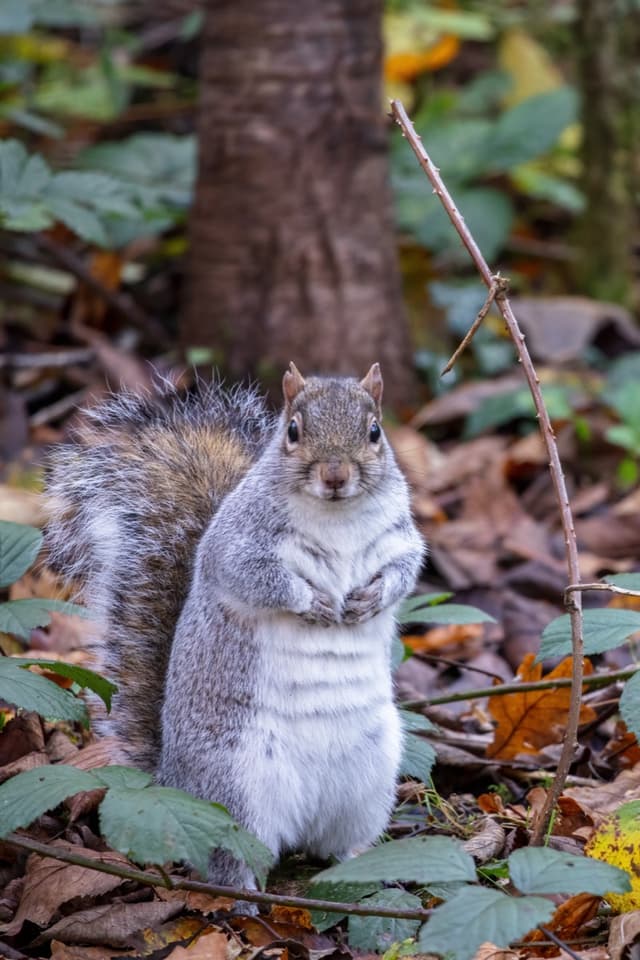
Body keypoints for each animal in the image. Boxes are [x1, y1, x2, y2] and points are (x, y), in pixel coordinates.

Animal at [46, 363, 425, 888]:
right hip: (236, 786)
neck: (337, 515)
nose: (335, 475)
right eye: (293, 431)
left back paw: (364, 869)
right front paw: (315, 603)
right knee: (232, 858)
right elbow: (258, 579)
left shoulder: (398, 538)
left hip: (369, 781)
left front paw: (369, 600)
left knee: (334, 842)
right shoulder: (238, 544)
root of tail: (173, 780)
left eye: (374, 432)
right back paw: (246, 895)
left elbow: (404, 570)